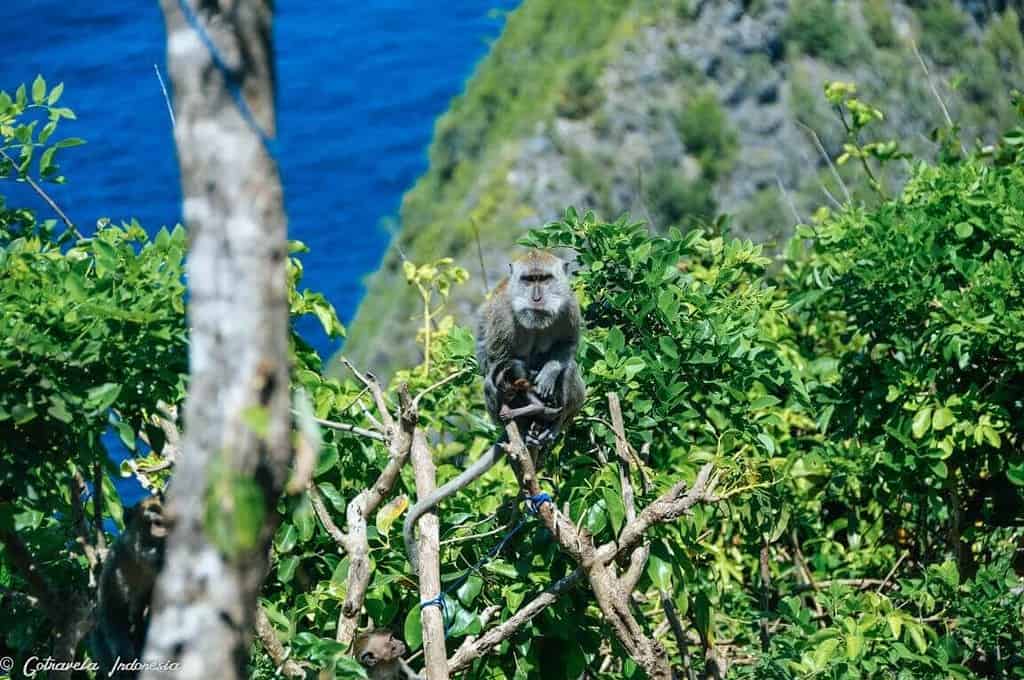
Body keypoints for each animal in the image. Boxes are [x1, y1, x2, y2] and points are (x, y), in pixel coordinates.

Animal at [403, 249, 589, 573]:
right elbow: (492, 358)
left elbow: (567, 347)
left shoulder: (569, 306)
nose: (537, 298)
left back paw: (551, 424)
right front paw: (498, 380)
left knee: (569, 372)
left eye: (545, 279)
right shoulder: (501, 317)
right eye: (528, 280)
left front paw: (549, 372)